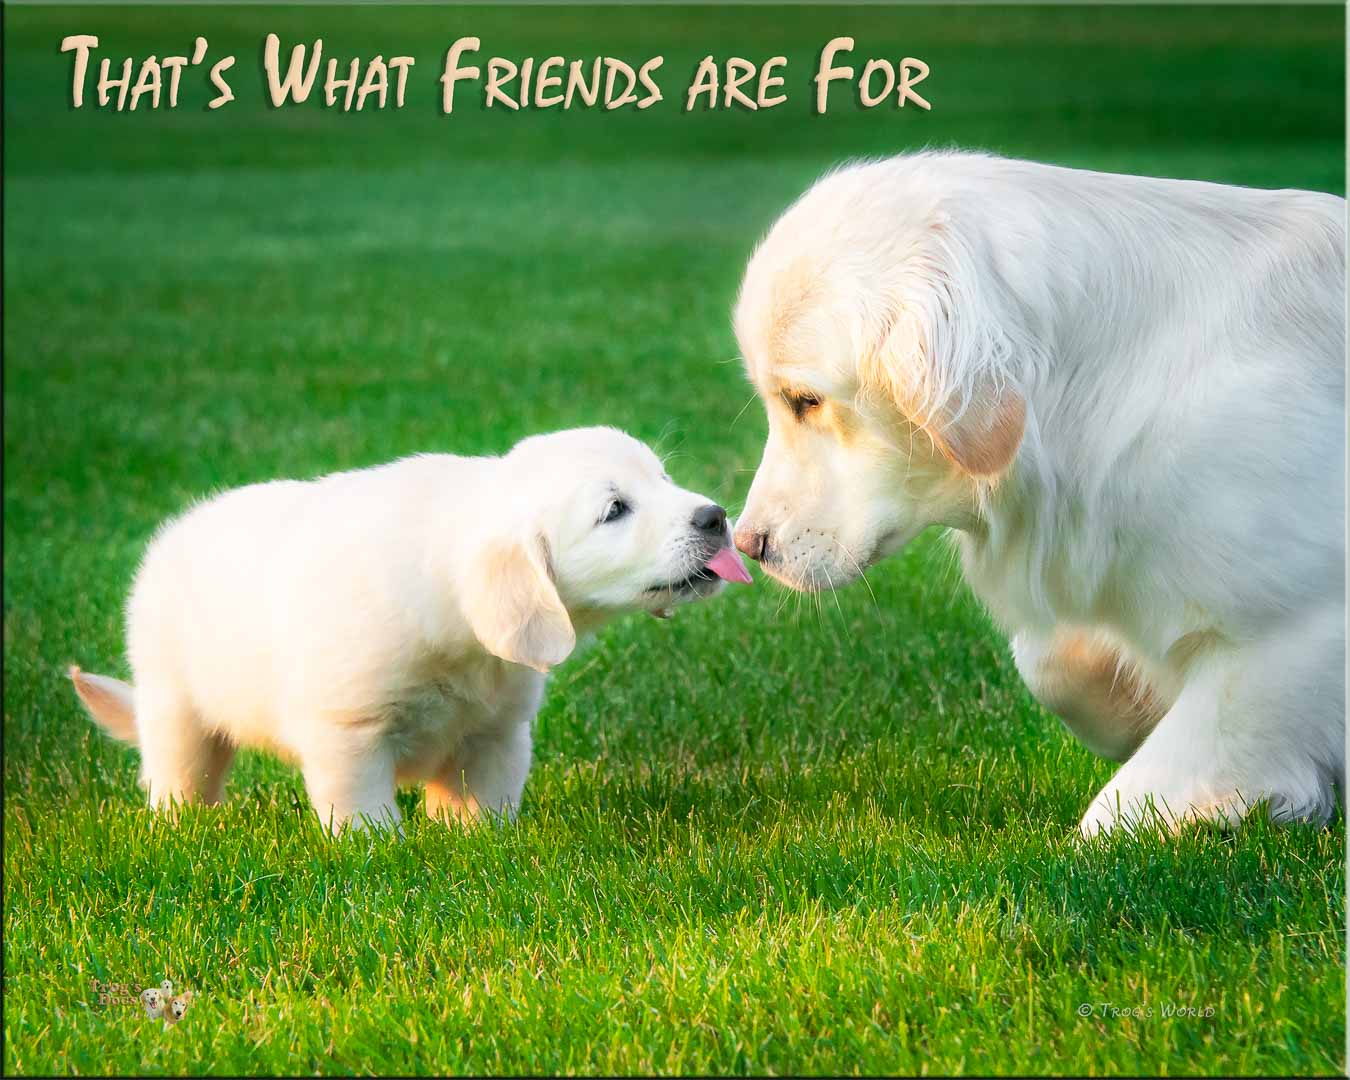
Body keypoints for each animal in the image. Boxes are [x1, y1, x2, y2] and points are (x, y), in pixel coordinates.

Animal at [71, 426, 750, 831]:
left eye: (662, 479)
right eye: (614, 510)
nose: (716, 517)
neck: (464, 644)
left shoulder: (496, 733)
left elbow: (484, 806)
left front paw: (481, 843)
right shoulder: (348, 733)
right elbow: (364, 812)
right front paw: (378, 850)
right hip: (175, 707)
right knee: (179, 774)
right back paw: (182, 826)